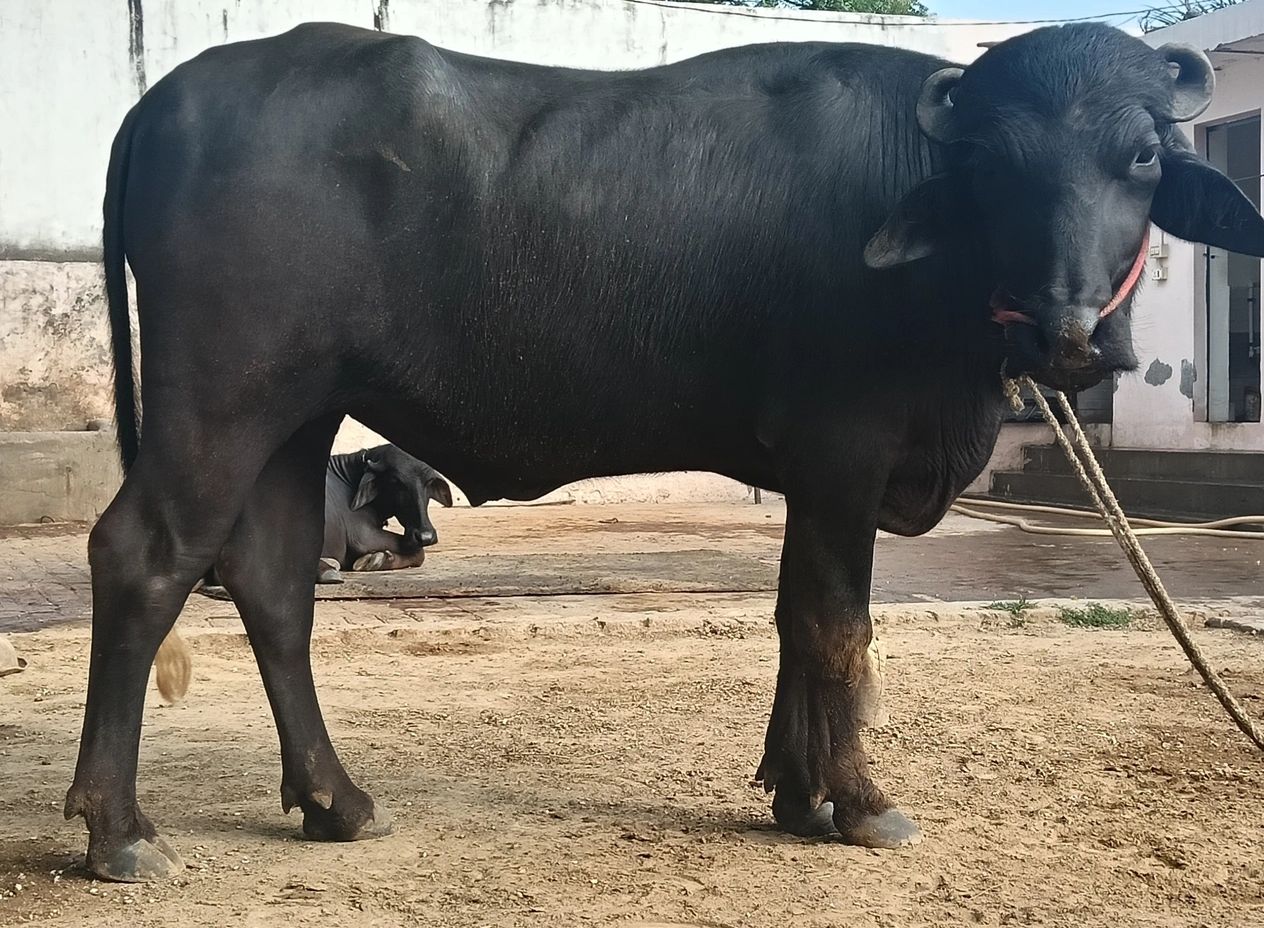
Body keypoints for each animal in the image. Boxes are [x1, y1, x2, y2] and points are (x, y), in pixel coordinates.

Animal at [65, 22, 1264, 881]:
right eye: (993, 170)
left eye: (1141, 155)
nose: (1073, 331)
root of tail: (163, 100)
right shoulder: (846, 457)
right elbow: (839, 628)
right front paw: (861, 802)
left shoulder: (808, 475)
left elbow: (792, 618)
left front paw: (796, 791)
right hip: (219, 401)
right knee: (144, 559)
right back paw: (118, 829)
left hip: (297, 415)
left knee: (271, 583)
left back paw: (335, 801)